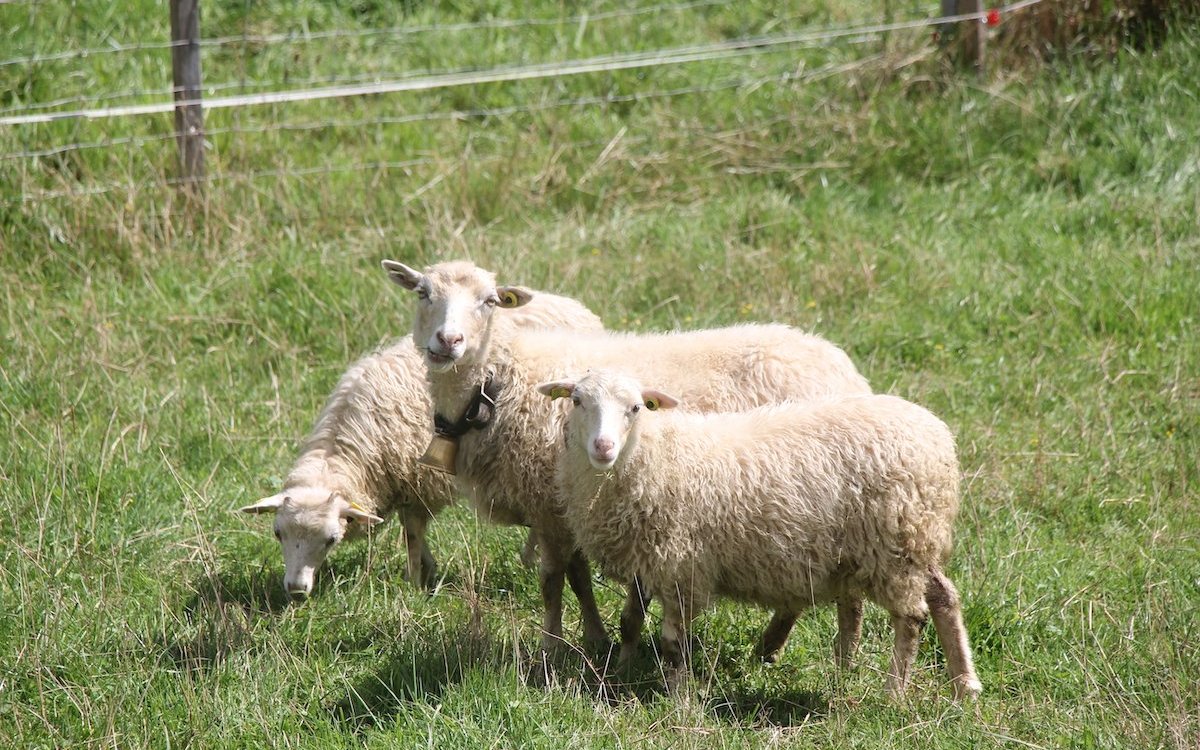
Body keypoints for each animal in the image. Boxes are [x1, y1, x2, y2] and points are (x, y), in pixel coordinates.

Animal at [240, 283, 604, 600]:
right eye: (278, 533)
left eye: (330, 539)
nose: (296, 591)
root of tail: (570, 304)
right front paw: (428, 569)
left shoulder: (417, 482)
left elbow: (412, 534)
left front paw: (415, 582)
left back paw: (531, 558)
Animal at [379, 259, 868, 652]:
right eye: (423, 293)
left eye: (489, 302)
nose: (449, 340)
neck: (500, 378)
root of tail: (843, 365)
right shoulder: (569, 505)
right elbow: (577, 576)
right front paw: (596, 636)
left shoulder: (550, 504)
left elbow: (553, 580)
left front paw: (553, 646)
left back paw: (770, 644)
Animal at [544, 372, 984, 700]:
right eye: (578, 401)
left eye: (635, 408)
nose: (603, 447)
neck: (655, 454)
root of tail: (936, 432)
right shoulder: (648, 558)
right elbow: (630, 620)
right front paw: (621, 670)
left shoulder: (681, 563)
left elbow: (672, 643)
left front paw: (677, 696)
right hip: (897, 545)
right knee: (942, 597)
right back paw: (960, 684)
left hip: (897, 542)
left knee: (910, 618)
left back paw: (894, 693)